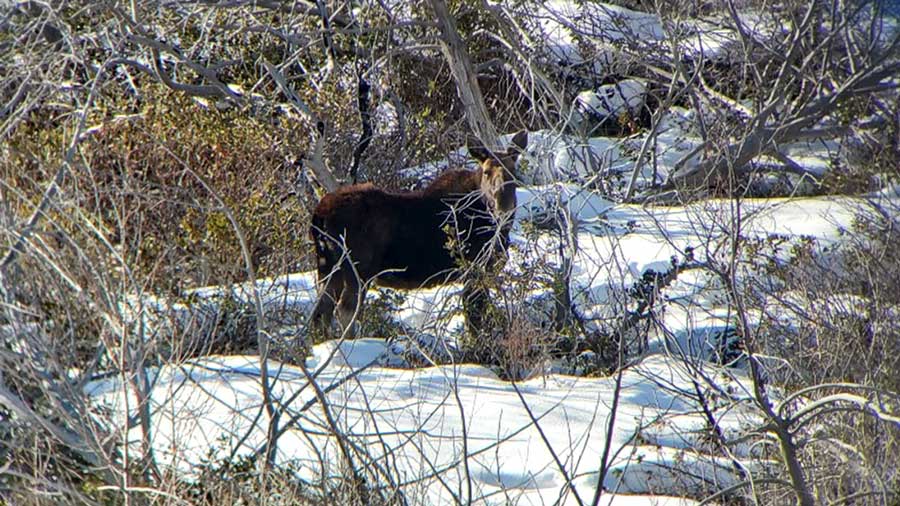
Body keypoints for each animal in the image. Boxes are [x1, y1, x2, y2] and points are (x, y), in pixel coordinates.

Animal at [309, 131, 528, 337]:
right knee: (345, 312)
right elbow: (475, 320)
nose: (503, 205)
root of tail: (318, 215)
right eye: (487, 172)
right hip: (358, 270)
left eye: (513, 171)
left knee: (320, 313)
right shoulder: (475, 270)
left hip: (328, 268)